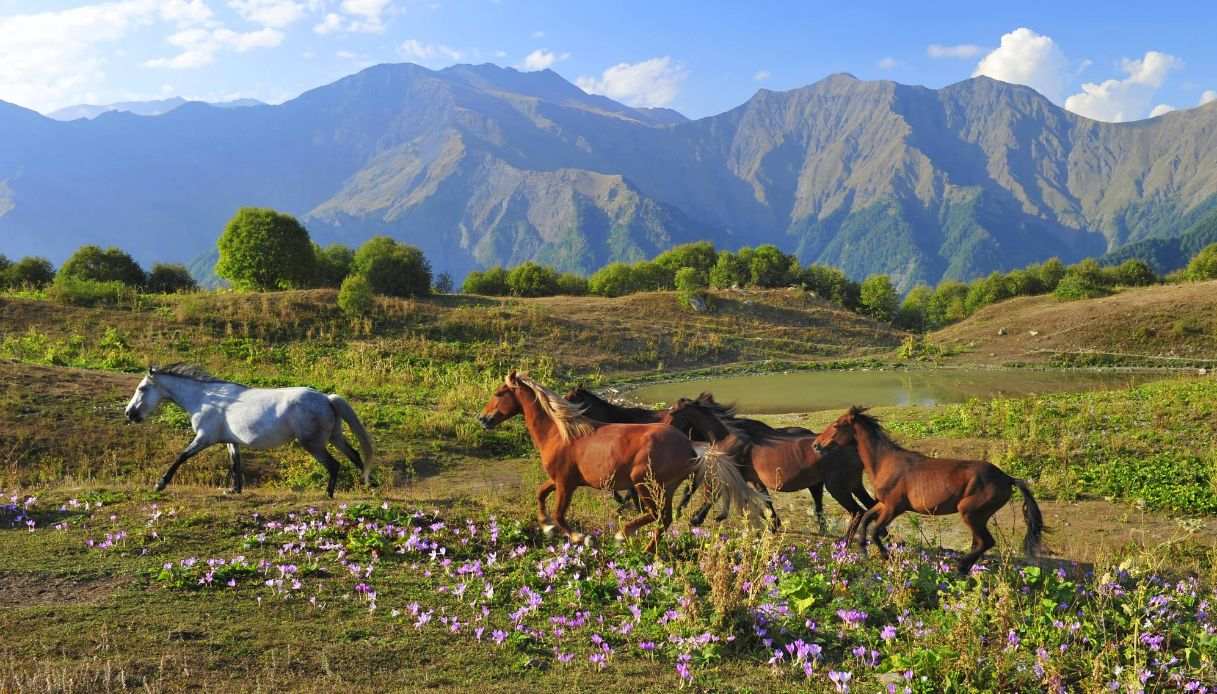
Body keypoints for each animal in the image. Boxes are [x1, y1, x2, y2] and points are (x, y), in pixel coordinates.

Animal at [124, 364, 375, 498]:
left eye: (142, 388)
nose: (129, 414)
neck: (206, 399)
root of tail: (327, 398)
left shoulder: (204, 438)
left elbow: (181, 457)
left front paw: (160, 484)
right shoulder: (230, 441)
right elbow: (235, 464)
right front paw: (234, 490)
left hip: (313, 444)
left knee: (334, 465)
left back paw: (329, 494)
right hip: (334, 437)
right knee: (355, 456)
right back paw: (371, 486)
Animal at [481, 372, 764, 552]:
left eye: (498, 393)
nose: (483, 419)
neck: (561, 432)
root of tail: (690, 447)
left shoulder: (565, 484)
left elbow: (560, 513)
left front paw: (580, 537)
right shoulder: (559, 480)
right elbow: (540, 494)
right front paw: (546, 526)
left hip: (645, 484)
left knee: (657, 515)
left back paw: (624, 535)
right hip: (665, 489)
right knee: (664, 519)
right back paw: (649, 549)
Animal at [665, 398, 876, 538]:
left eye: (672, 413)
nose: (665, 431)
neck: (729, 437)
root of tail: (854, 448)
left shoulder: (731, 476)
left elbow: (712, 495)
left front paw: (695, 519)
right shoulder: (754, 480)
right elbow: (767, 501)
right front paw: (774, 525)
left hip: (838, 487)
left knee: (857, 511)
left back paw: (846, 541)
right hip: (851, 485)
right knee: (870, 506)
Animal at [813, 406, 1044, 575]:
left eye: (836, 425)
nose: (816, 445)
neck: (885, 462)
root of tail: (1007, 478)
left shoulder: (894, 508)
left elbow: (875, 530)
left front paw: (885, 556)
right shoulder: (884, 504)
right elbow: (867, 518)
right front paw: (863, 548)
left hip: (970, 513)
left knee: (986, 542)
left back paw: (960, 567)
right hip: (979, 516)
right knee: (979, 543)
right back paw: (966, 568)